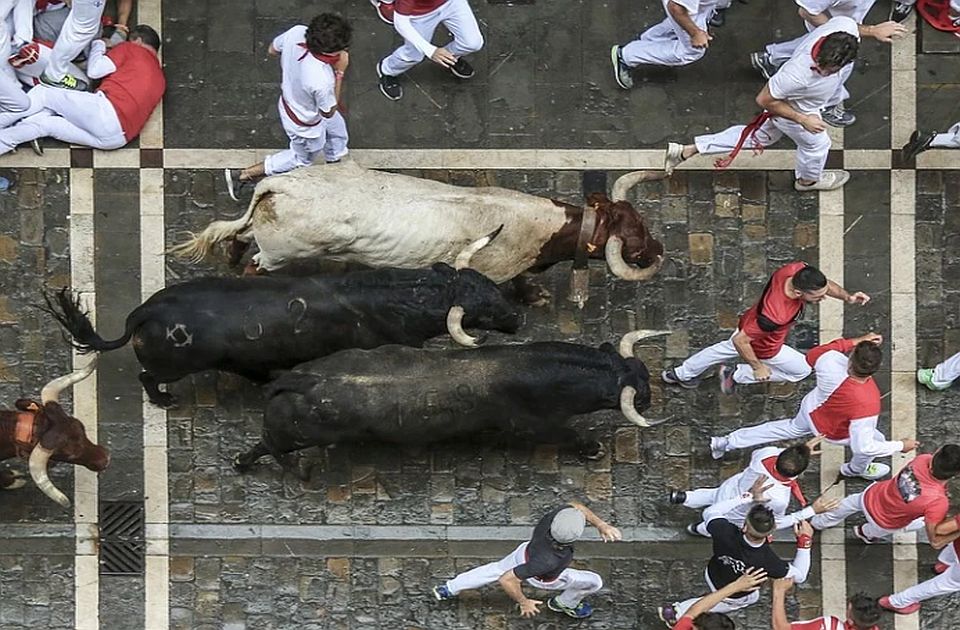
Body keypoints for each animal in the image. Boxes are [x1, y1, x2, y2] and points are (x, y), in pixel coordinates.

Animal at [43, 264, 524, 408]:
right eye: (484, 309)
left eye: (492, 287)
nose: (518, 318)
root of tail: (146, 311)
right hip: (172, 366)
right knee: (148, 378)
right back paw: (164, 400)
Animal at [236, 336, 664, 474]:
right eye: (638, 390)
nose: (650, 396)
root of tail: (302, 378)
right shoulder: (536, 425)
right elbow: (570, 435)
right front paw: (592, 449)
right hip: (294, 435)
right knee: (266, 444)